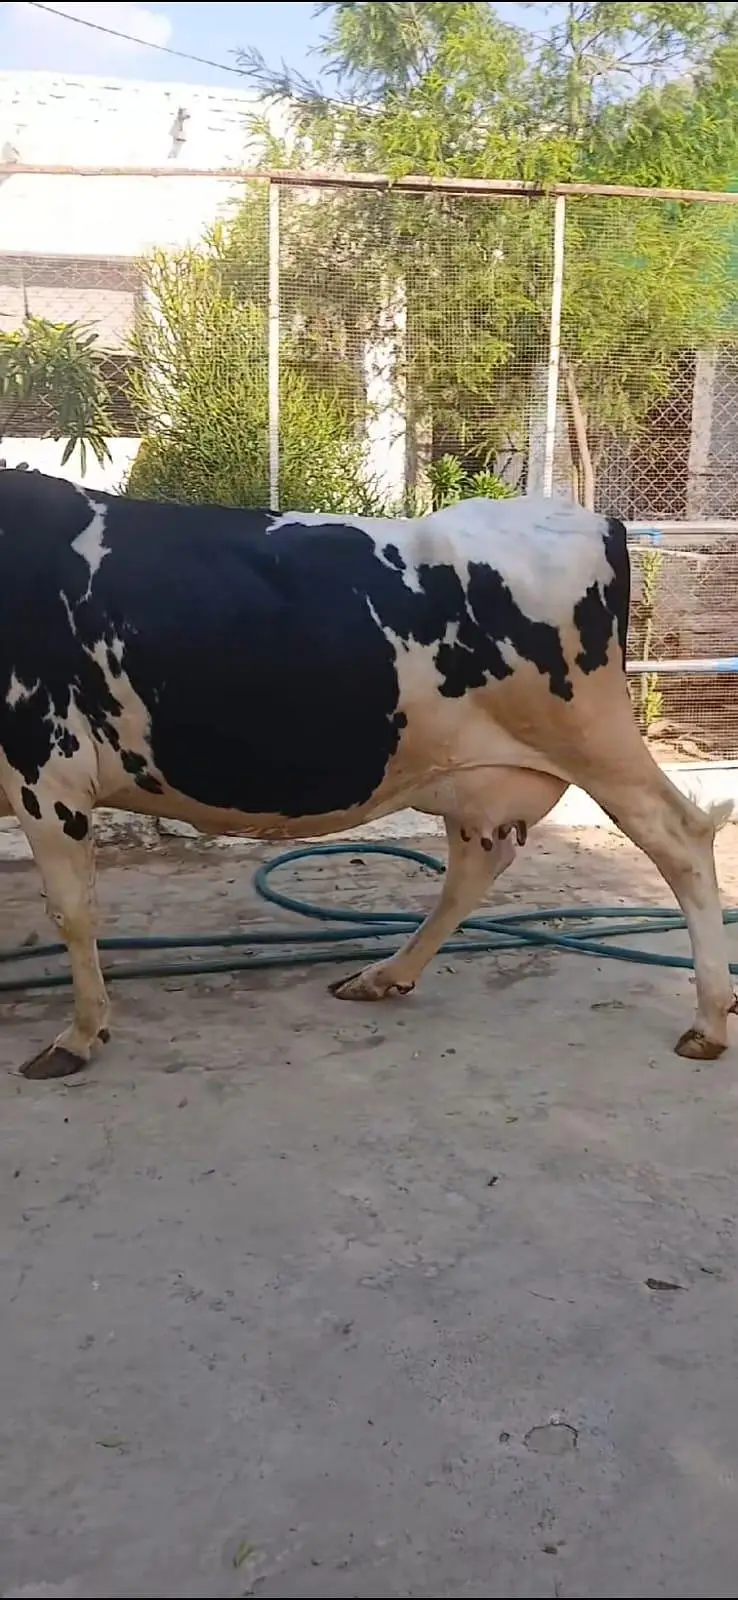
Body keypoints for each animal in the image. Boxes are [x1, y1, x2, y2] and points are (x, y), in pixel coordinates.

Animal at [0, 469, 733, 1080]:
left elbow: (72, 910)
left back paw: (709, 1019)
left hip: (592, 738)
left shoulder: (47, 767)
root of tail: (594, 520)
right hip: (477, 771)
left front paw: (79, 1035)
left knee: (682, 837)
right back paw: (385, 975)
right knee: (476, 866)